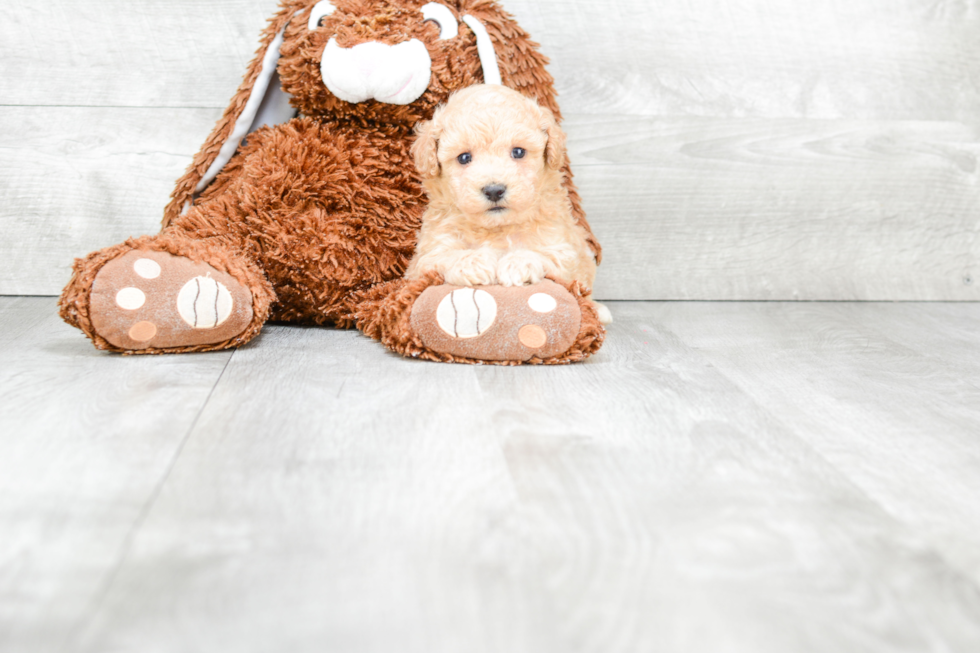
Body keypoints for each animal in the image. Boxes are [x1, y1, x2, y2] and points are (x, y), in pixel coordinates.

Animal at [404, 84, 604, 324]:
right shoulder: (423, 260)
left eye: (518, 152)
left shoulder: (563, 249)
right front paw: (472, 262)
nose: (494, 190)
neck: (497, 228)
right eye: (464, 158)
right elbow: (441, 257)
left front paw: (518, 263)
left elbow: (549, 257)